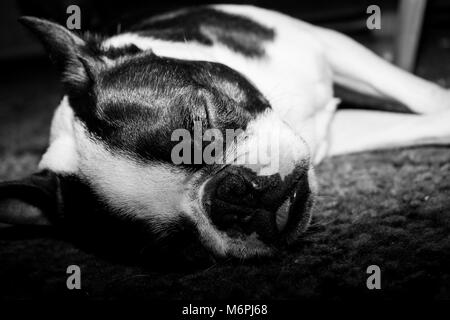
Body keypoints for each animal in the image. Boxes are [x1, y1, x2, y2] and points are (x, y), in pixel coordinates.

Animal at [0, 4, 450, 260]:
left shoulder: (327, 42)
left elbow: (422, 92)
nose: (232, 196)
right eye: (178, 245)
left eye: (205, 119)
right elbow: (416, 124)